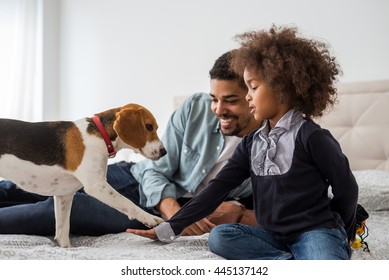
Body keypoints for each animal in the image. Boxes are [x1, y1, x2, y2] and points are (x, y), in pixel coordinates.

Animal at [0, 103, 165, 247]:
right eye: (149, 127)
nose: (164, 152)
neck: (101, 133)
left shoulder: (64, 195)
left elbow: (63, 231)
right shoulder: (97, 186)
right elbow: (127, 202)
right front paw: (150, 218)